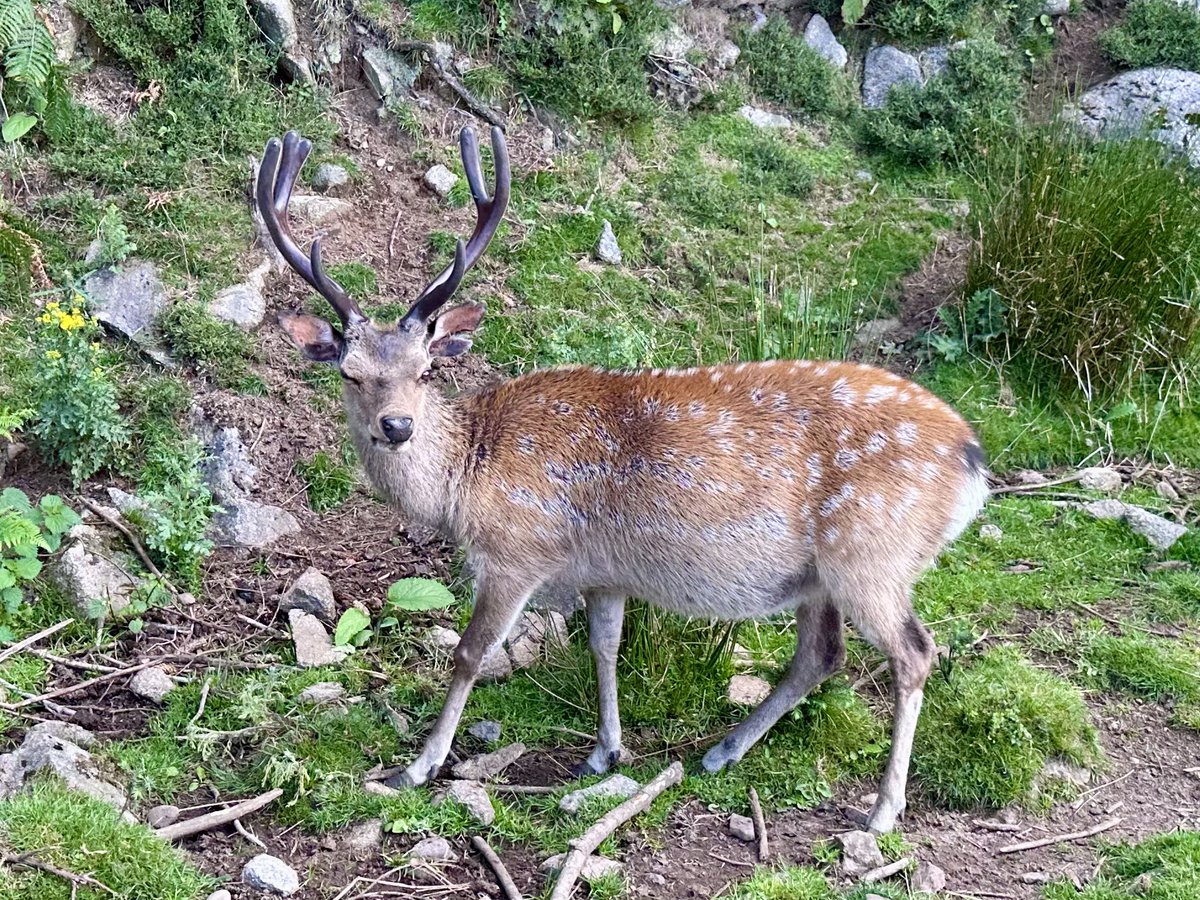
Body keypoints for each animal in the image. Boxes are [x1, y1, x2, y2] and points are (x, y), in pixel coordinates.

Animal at [255, 126, 989, 835]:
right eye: (350, 373)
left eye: (425, 368)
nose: (397, 425)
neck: (465, 482)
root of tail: (972, 461)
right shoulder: (603, 573)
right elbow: (605, 647)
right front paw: (605, 751)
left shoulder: (518, 551)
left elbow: (470, 652)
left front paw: (418, 766)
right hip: (821, 575)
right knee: (821, 654)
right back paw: (722, 752)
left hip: (873, 554)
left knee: (915, 652)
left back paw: (884, 809)